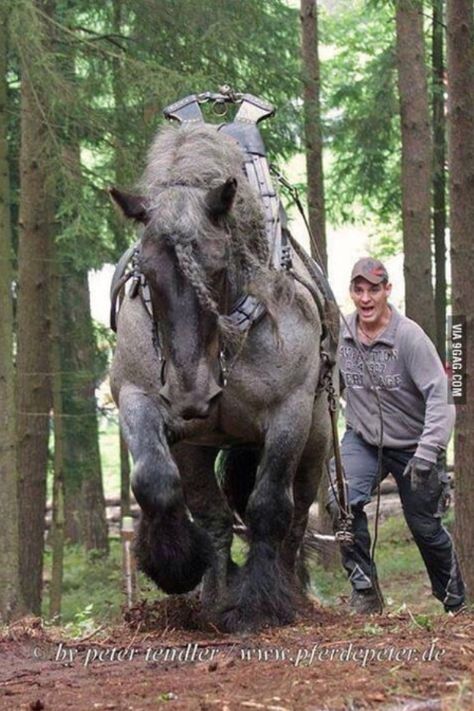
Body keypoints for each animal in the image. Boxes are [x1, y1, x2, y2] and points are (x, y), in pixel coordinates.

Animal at [110, 124, 334, 636]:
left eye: (215, 267)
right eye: (146, 273)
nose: (191, 395)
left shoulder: (290, 411)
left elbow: (269, 506)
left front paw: (258, 604)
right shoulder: (137, 396)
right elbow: (154, 479)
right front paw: (174, 564)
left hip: (316, 438)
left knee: (297, 512)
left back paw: (288, 591)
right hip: (196, 445)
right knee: (212, 515)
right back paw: (214, 595)